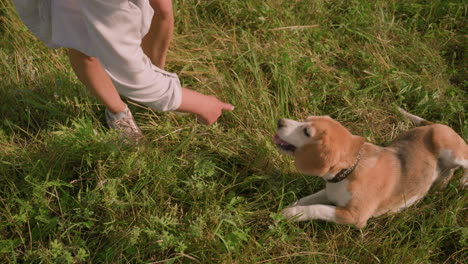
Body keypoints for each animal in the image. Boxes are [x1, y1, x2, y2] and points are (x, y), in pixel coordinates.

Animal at [274, 108, 468, 228]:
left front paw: (291, 213)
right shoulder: (329, 193)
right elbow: (307, 199)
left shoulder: (355, 215)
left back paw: (463, 182)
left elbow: (318, 207)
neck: (351, 169)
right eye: (305, 120)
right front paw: (287, 207)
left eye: (307, 132)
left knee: (465, 161)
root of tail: (431, 125)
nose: (280, 121)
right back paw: (441, 184)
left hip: (449, 147)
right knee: (448, 173)